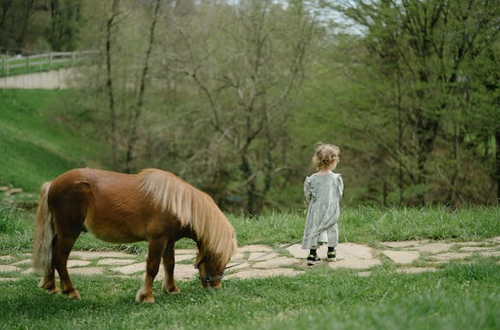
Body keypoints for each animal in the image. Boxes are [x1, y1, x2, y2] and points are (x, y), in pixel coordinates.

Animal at [32, 169, 237, 302]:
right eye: (214, 257)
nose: (216, 287)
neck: (174, 203)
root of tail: (53, 184)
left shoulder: (169, 241)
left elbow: (170, 265)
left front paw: (171, 289)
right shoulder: (157, 240)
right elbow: (153, 268)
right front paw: (146, 296)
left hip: (58, 233)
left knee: (51, 255)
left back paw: (51, 286)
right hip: (68, 233)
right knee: (60, 258)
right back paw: (70, 291)